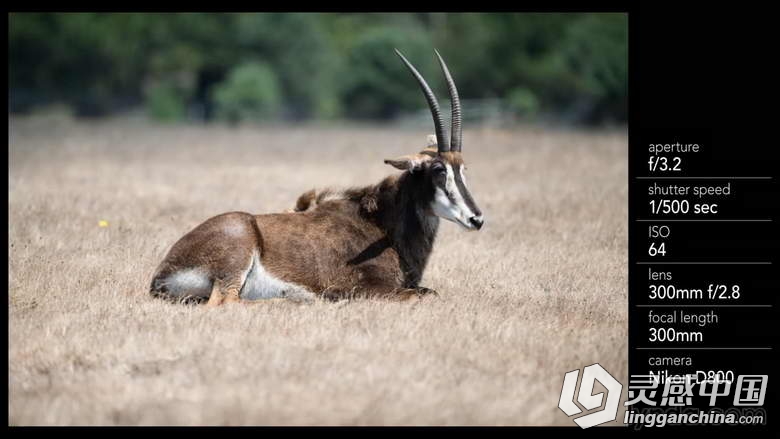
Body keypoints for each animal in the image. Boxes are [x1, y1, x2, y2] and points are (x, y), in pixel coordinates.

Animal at [148, 49, 482, 306]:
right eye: (439, 170)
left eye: (463, 169)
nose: (476, 219)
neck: (382, 224)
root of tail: (160, 276)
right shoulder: (369, 289)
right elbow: (423, 295)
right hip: (236, 256)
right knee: (225, 302)